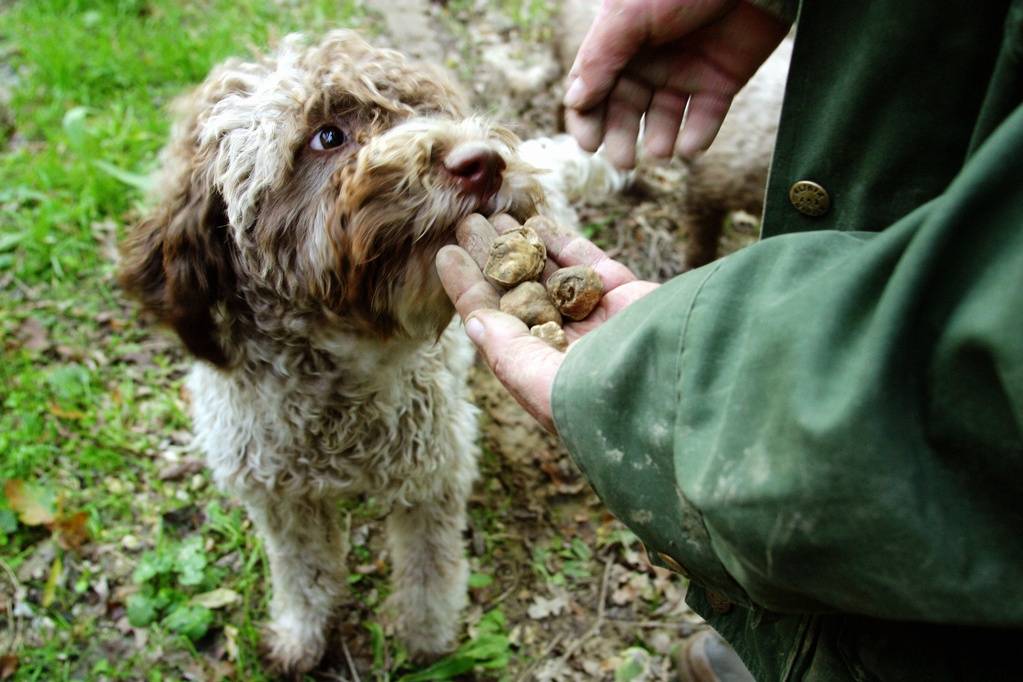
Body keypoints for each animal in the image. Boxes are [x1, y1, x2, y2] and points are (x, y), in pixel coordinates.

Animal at [119, 30, 626, 670]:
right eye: (326, 135)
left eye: (427, 109)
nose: (484, 161)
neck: (339, 380)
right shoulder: (278, 498)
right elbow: (303, 574)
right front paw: (302, 637)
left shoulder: (432, 477)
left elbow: (429, 572)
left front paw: (426, 640)